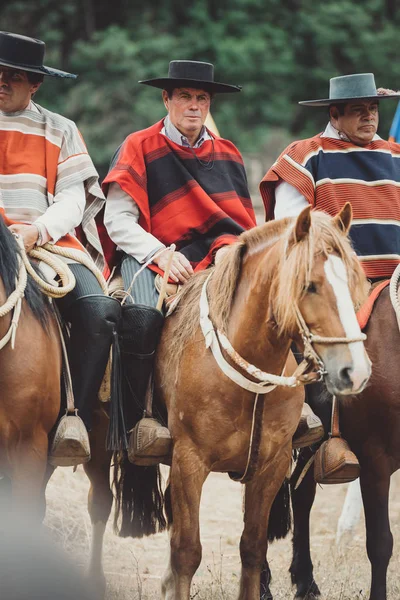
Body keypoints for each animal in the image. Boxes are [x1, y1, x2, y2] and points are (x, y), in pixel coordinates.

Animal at [151, 206, 372, 600]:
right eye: (309, 284)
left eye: (351, 282)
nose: (355, 370)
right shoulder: (188, 461)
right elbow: (186, 551)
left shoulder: (272, 464)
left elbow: (253, 547)